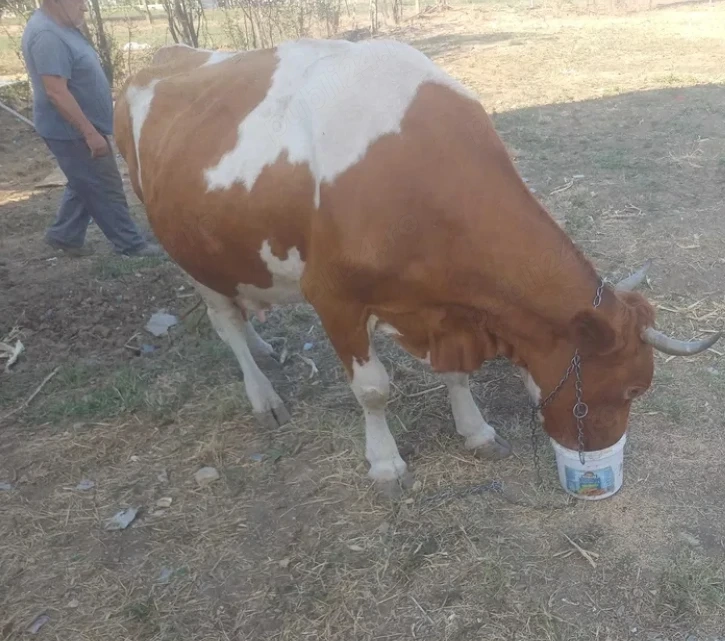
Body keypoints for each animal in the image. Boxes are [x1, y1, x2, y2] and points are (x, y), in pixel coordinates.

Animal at [113, 39, 721, 497]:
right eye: (631, 390)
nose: (597, 466)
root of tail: (161, 58)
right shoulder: (333, 298)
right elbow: (372, 391)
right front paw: (385, 464)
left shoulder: (447, 310)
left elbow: (456, 373)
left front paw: (476, 431)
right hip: (187, 250)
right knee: (226, 324)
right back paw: (262, 394)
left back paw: (265, 348)